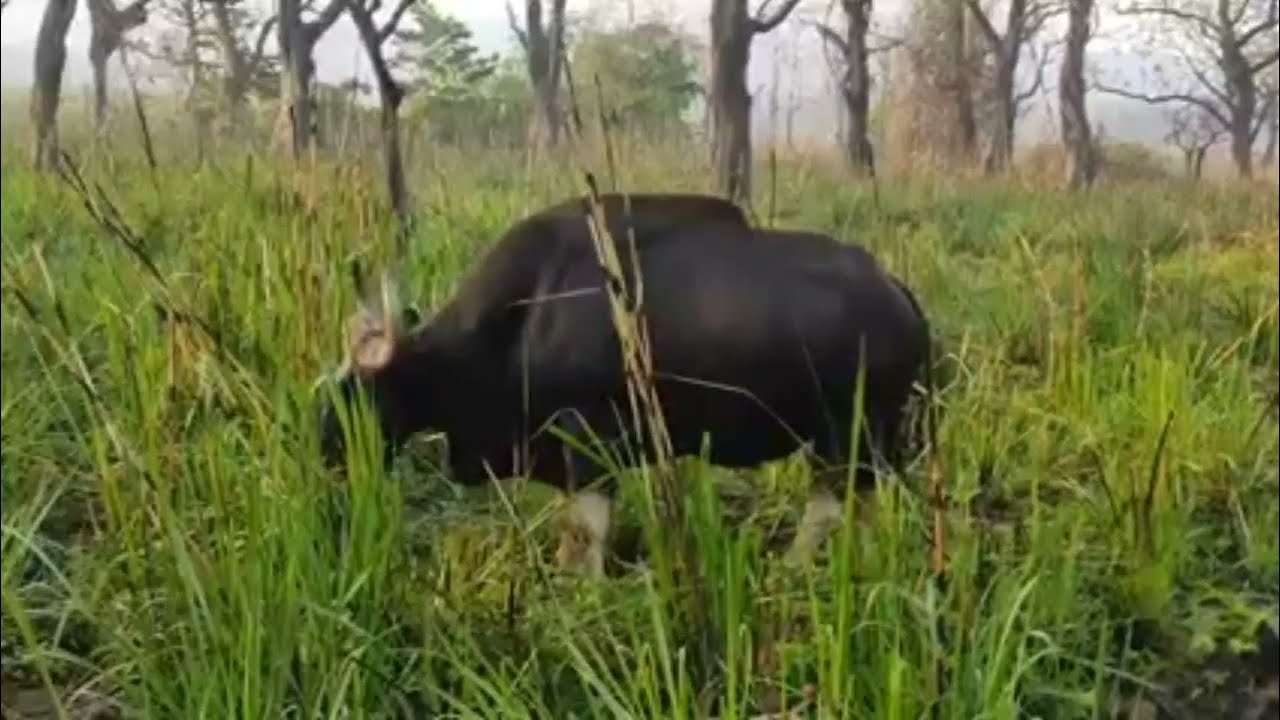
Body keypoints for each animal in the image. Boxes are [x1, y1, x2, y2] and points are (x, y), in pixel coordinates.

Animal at [317, 192, 933, 576]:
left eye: (359, 393)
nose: (325, 452)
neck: (526, 309)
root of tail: (896, 292)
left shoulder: (591, 438)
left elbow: (587, 531)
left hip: (851, 434)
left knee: (832, 505)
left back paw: (794, 566)